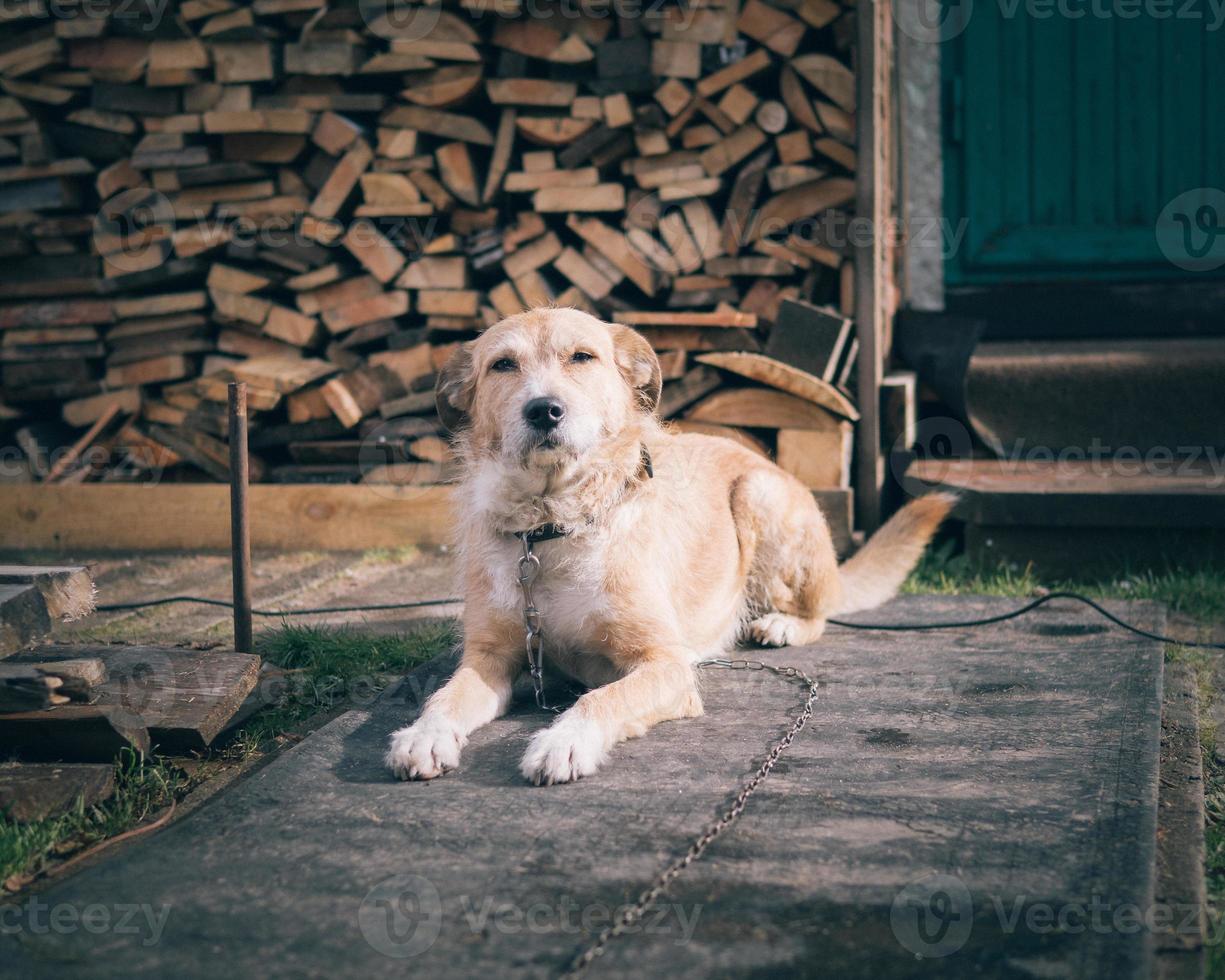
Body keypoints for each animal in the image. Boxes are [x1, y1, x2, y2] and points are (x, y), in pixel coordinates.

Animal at [387, 309, 950, 784]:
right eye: (502, 364)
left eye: (582, 357)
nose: (544, 410)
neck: (554, 527)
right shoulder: (491, 656)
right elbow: (444, 696)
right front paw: (423, 735)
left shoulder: (666, 664)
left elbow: (601, 700)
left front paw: (563, 742)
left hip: (759, 496)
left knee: (821, 609)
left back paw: (783, 624)